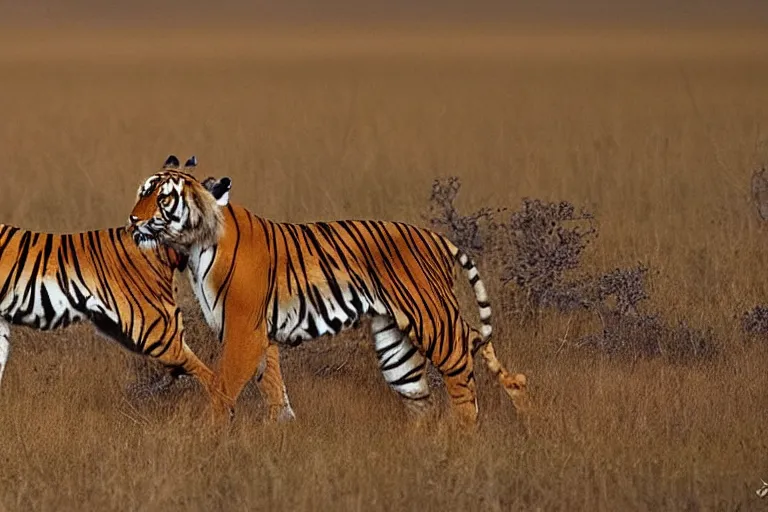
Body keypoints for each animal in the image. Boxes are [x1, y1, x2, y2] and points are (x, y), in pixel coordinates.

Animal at [129, 156, 532, 428]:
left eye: (163, 199)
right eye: (141, 193)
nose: (133, 219)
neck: (195, 245)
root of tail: (435, 236)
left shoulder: (244, 330)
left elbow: (222, 386)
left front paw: (205, 432)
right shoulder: (258, 334)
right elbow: (272, 384)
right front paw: (282, 427)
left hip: (433, 319)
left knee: (464, 361)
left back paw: (466, 433)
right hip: (394, 343)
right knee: (420, 393)